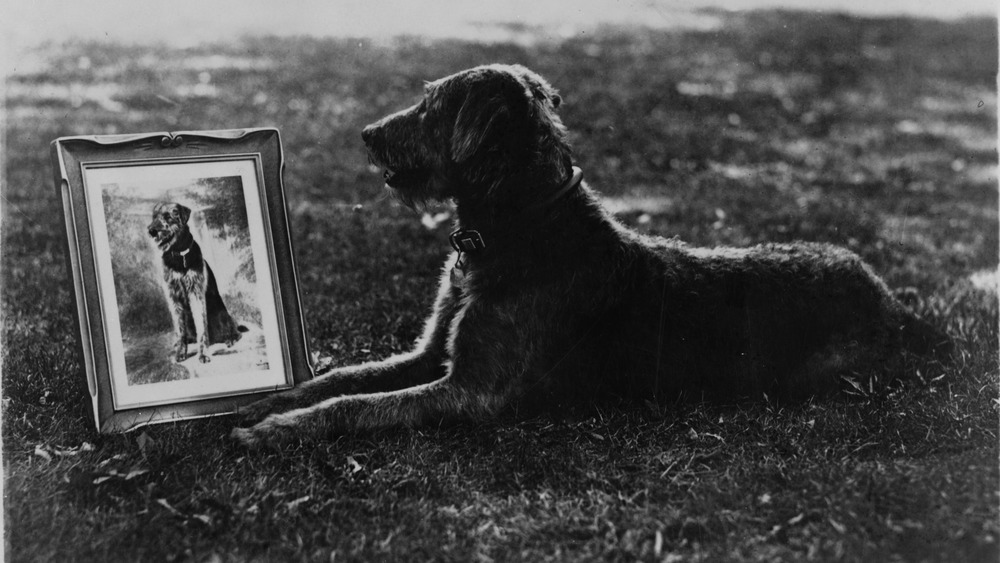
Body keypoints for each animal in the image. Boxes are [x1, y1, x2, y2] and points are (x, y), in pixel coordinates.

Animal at [150, 203, 248, 366]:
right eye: (154, 217)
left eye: (168, 216)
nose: (151, 231)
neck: (179, 255)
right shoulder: (173, 297)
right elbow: (179, 330)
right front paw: (180, 352)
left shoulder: (195, 293)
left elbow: (202, 328)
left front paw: (203, 355)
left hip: (221, 315)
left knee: (235, 331)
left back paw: (230, 339)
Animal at [229, 62, 952, 450]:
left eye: (433, 105)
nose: (367, 134)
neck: (515, 228)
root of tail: (894, 302)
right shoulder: (429, 354)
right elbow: (343, 379)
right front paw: (265, 402)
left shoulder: (472, 390)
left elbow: (362, 405)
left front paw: (279, 427)